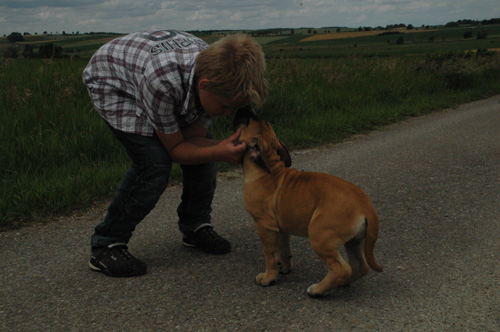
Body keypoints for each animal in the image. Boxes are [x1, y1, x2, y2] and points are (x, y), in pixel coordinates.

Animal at [233, 107, 382, 296]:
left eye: (246, 121)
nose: (245, 107)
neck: (267, 169)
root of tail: (366, 206)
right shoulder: (281, 227)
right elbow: (284, 248)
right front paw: (284, 267)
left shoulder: (265, 226)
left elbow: (270, 253)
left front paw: (268, 277)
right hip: (353, 241)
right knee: (359, 266)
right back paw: (340, 284)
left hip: (319, 234)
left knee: (341, 268)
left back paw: (317, 290)